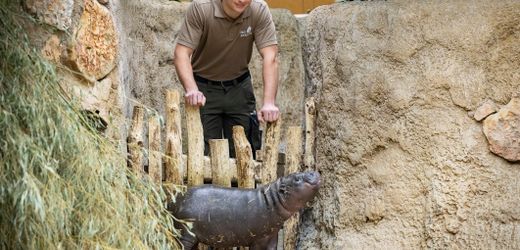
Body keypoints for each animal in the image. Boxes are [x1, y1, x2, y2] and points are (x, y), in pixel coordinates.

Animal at [169, 171, 320, 249]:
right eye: (297, 178)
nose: (312, 171)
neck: (273, 199)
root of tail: (174, 202)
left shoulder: (272, 236)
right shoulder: (258, 239)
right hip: (186, 234)